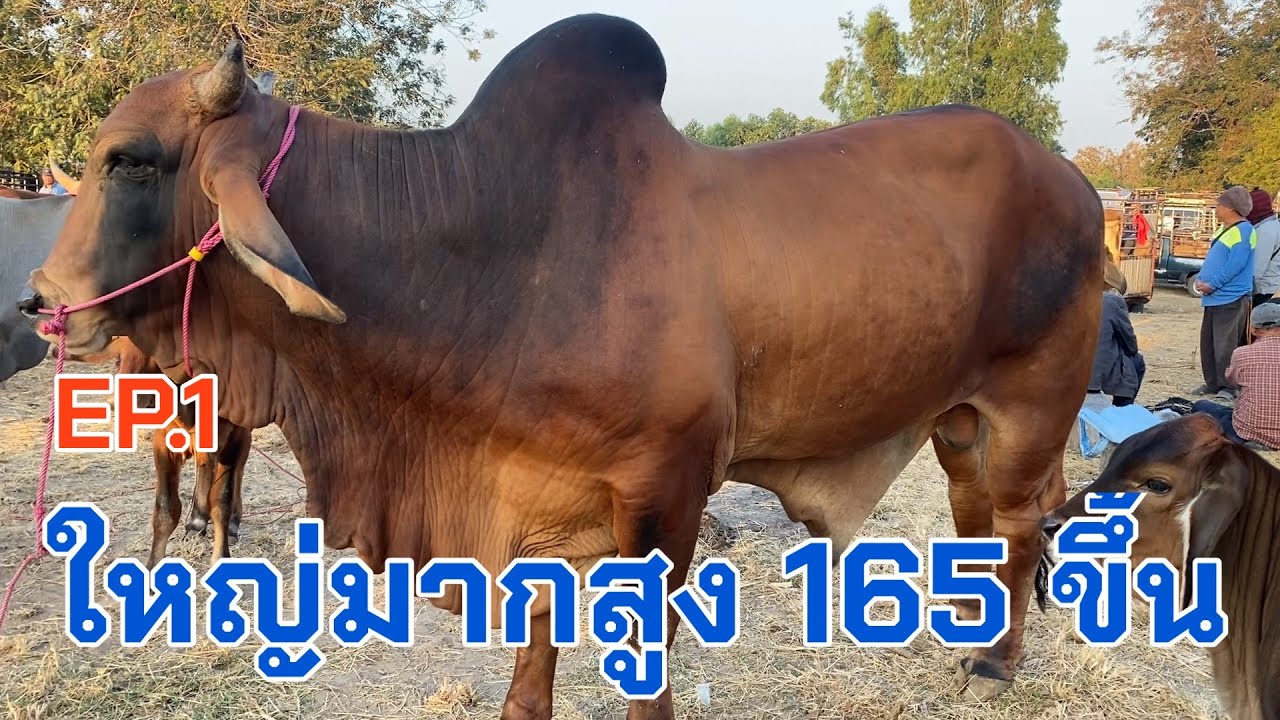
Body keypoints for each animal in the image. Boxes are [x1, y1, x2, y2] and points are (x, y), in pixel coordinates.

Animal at [18, 15, 1104, 718]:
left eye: (134, 159)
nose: (38, 300)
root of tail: (1074, 178)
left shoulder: (669, 495)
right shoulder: (532, 496)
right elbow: (535, 648)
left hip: (1030, 405)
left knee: (1021, 522)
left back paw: (997, 660)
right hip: (957, 422)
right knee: (976, 517)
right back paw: (961, 627)